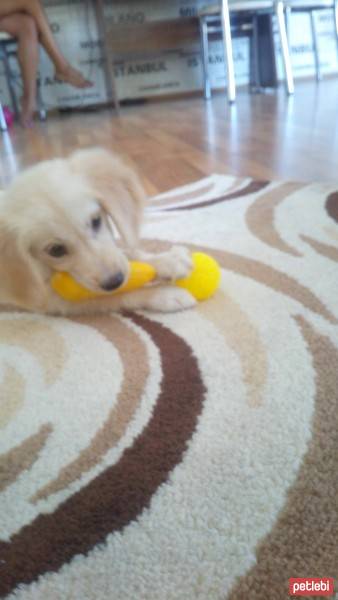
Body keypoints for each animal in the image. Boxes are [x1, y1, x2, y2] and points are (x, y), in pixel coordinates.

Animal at [0, 148, 195, 316]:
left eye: (96, 221)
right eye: (56, 250)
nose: (115, 280)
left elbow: (128, 254)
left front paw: (167, 259)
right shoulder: (51, 300)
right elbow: (117, 295)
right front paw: (164, 294)